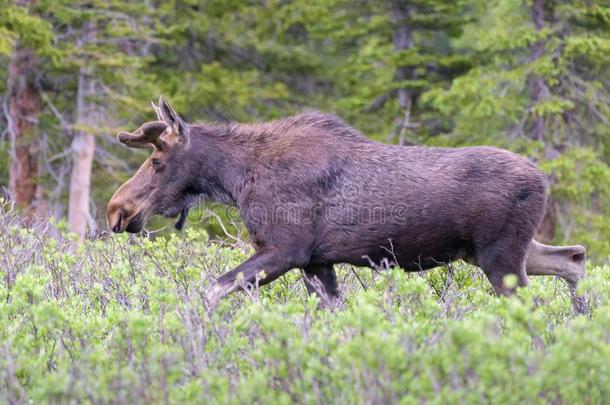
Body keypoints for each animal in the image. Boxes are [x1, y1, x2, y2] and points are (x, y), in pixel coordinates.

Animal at [107, 97, 588, 310]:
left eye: (155, 160)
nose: (116, 210)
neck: (234, 179)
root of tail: (542, 180)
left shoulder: (286, 249)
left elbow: (211, 289)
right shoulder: (317, 261)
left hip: (499, 258)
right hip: (499, 251)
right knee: (574, 257)